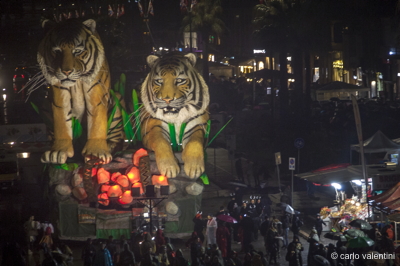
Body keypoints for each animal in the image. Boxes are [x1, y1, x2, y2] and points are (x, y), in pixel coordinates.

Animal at [37, 18, 122, 164]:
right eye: (57, 51)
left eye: (77, 51)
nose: (66, 71)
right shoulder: (59, 93)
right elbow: (61, 121)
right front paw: (57, 152)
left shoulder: (96, 90)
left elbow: (97, 121)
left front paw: (96, 153)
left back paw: (110, 145)